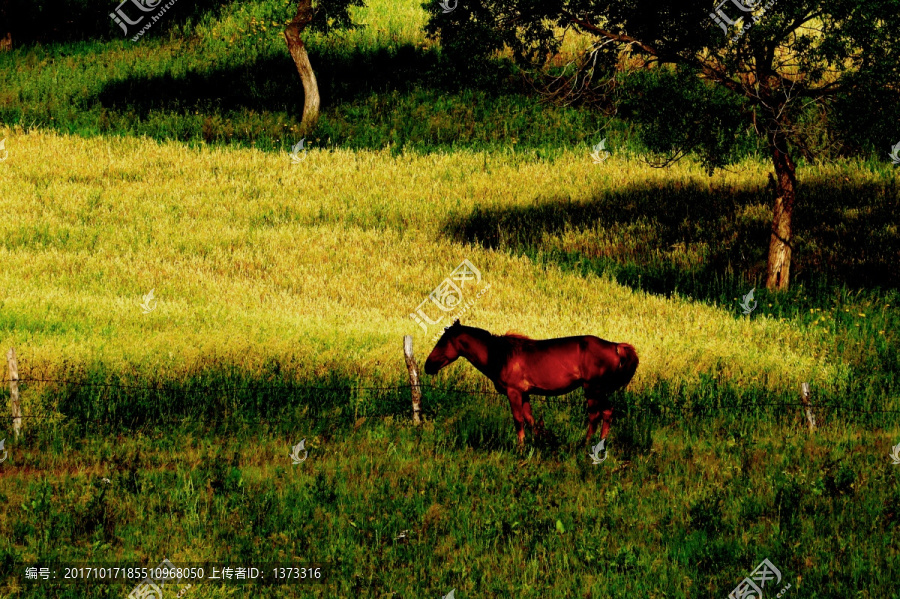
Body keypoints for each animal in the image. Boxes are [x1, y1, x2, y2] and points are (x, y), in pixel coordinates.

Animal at [424, 324, 640, 446]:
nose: (427, 365)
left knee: (596, 416)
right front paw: (542, 440)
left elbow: (518, 419)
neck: (500, 355)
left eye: (442, 341)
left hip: (593, 389)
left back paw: (586, 444)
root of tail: (616, 346)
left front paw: (520, 447)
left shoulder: (513, 392)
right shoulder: (525, 394)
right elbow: (530, 419)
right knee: (607, 412)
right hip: (599, 390)